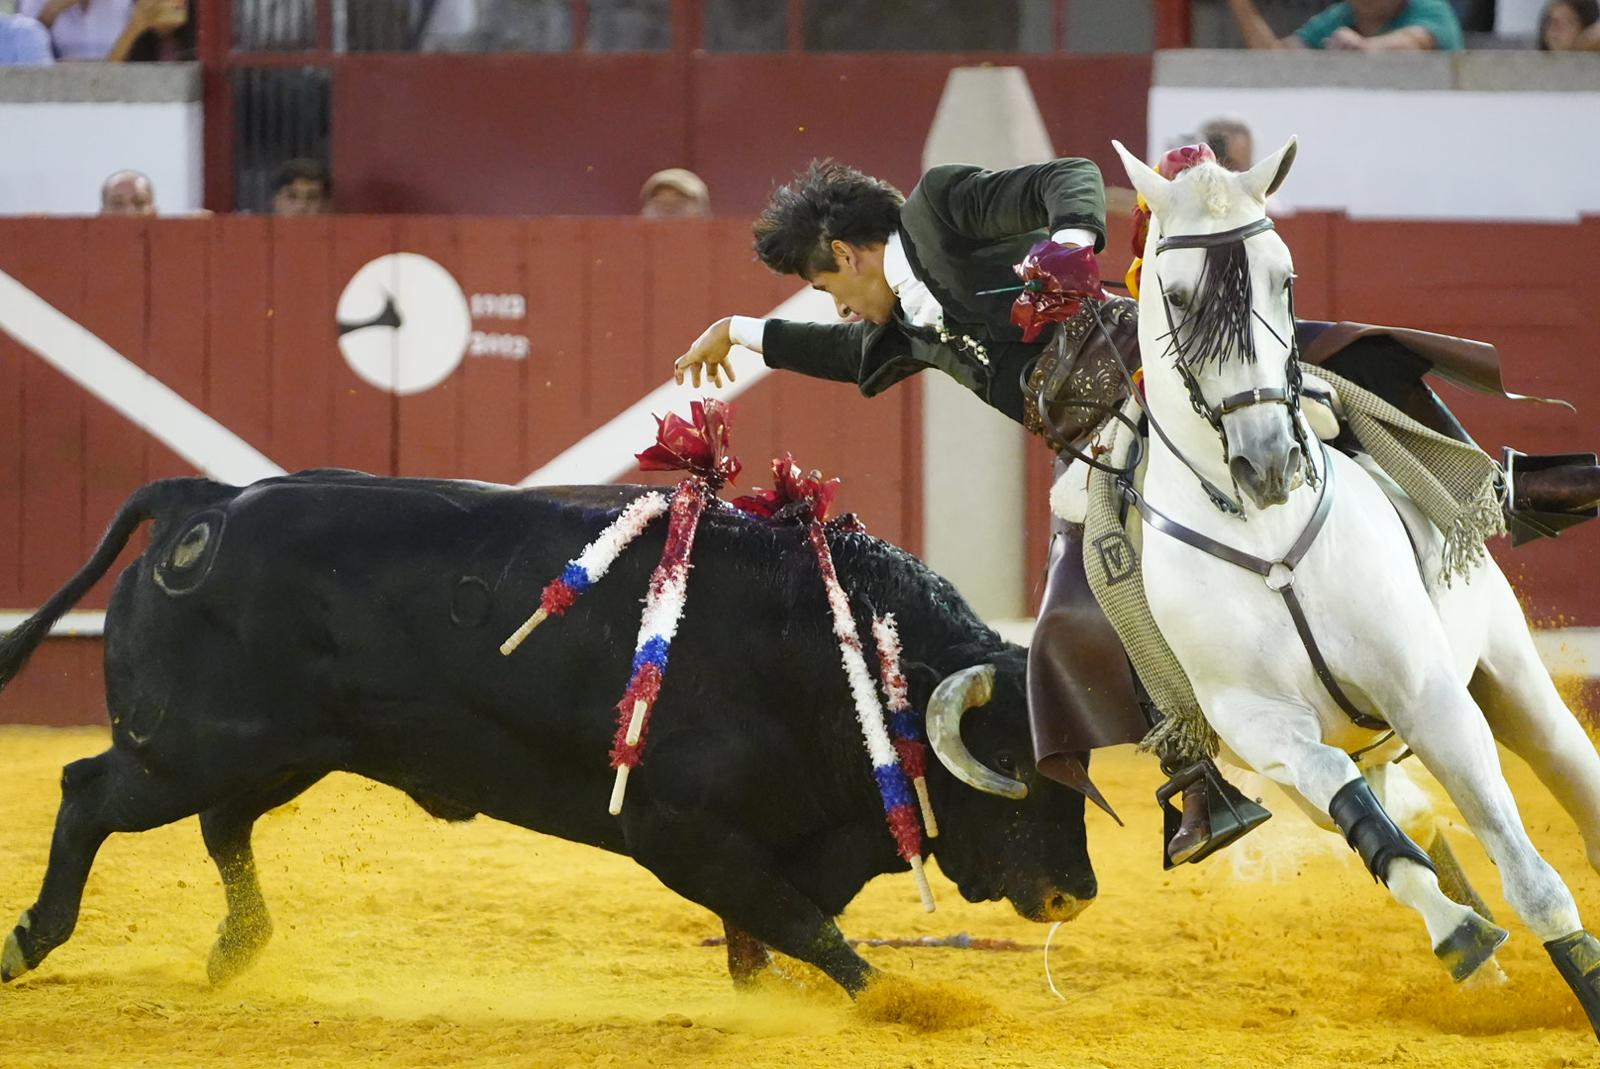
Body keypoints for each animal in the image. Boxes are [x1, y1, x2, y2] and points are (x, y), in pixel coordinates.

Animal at [0, 470, 1094, 998]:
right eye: (1007, 764)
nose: (1074, 896)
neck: (839, 656)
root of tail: (208, 503)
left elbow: (770, 933)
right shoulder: (680, 832)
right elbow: (807, 929)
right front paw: (908, 1002)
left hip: (289, 747)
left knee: (221, 823)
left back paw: (235, 951)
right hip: (189, 744)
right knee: (88, 795)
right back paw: (30, 941)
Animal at [1113, 137, 1600, 1030]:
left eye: (1286, 277)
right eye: (1177, 294)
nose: (1268, 460)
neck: (1266, 538)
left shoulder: (1428, 692)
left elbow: (1532, 876)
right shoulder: (1261, 726)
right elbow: (1359, 815)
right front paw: (1459, 932)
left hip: (1510, 673)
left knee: (1571, 783)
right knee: (1394, 807)